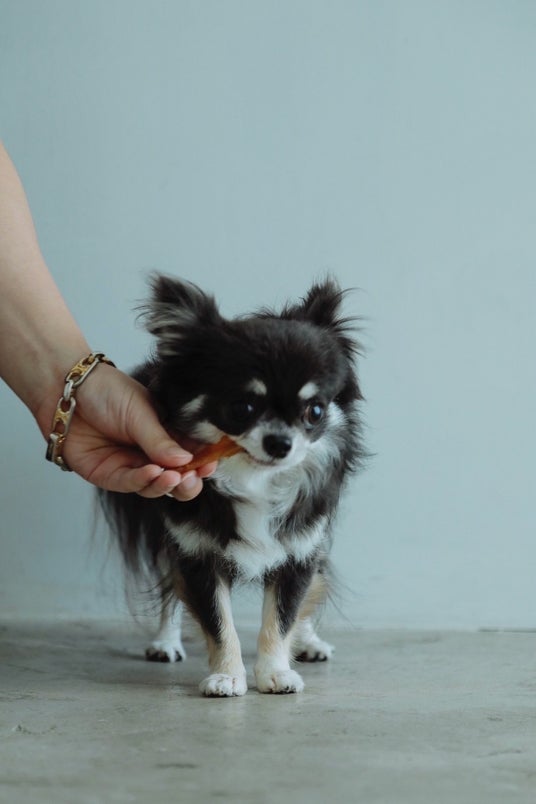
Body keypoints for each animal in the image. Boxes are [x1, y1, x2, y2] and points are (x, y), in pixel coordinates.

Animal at [100, 276, 365, 696]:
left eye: (315, 411)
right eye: (242, 407)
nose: (280, 443)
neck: (254, 481)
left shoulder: (300, 549)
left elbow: (284, 614)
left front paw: (276, 671)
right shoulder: (195, 552)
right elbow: (218, 619)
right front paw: (226, 675)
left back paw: (309, 642)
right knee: (168, 589)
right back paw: (165, 641)